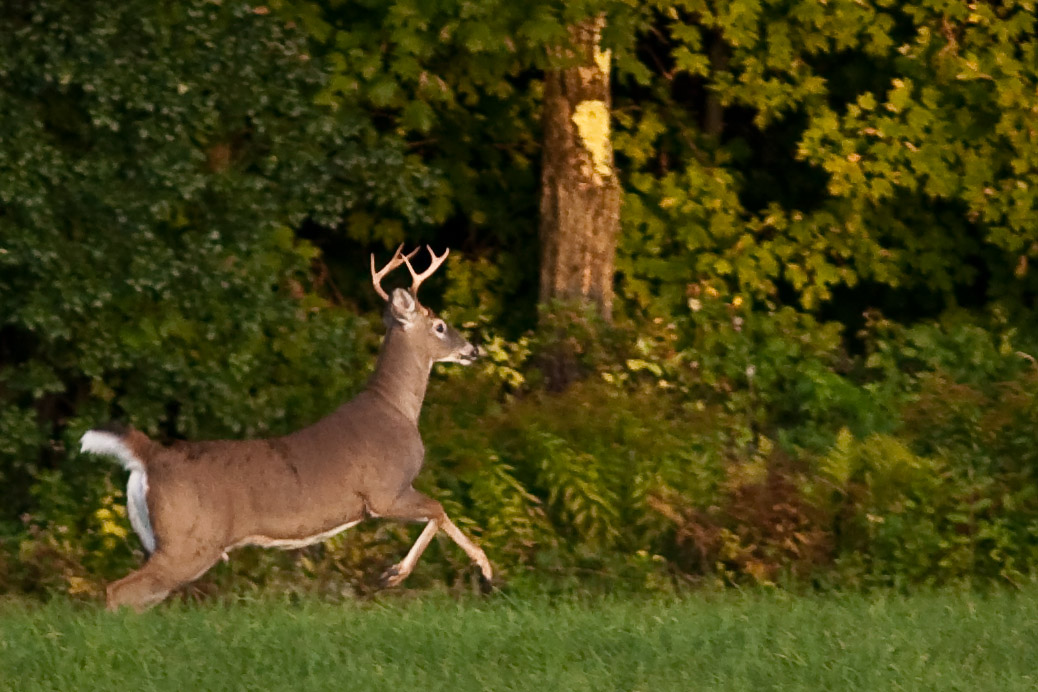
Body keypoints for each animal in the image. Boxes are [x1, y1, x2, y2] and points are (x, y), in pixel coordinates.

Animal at [80, 245, 492, 611]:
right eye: (440, 325)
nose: (473, 351)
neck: (396, 409)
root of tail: (149, 455)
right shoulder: (385, 491)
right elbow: (438, 509)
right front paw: (409, 574)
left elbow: (438, 513)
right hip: (189, 541)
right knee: (119, 592)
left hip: (161, 541)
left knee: (137, 595)